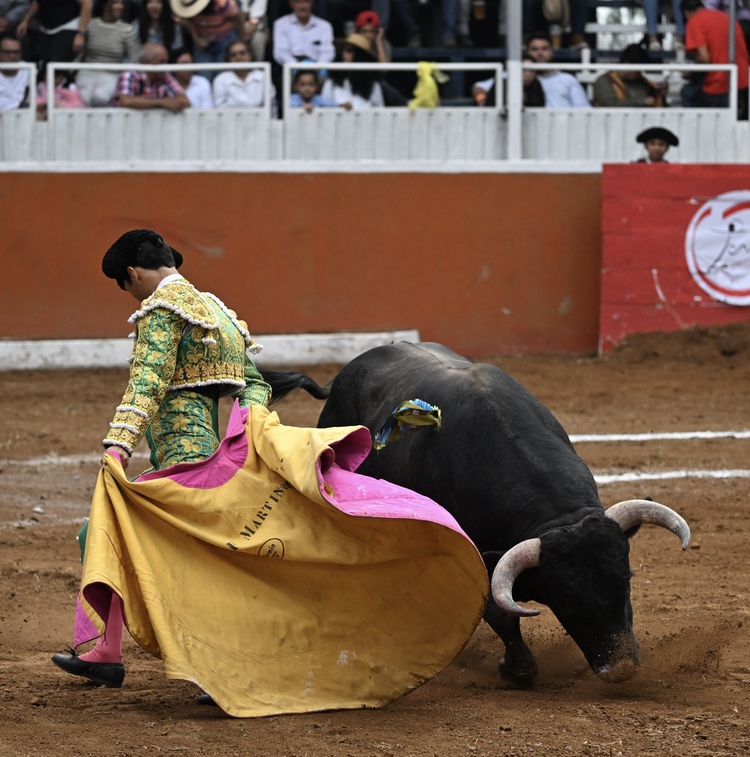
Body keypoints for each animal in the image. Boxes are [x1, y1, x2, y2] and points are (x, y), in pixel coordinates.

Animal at [260, 342, 691, 685]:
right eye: (565, 599)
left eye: (626, 580)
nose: (622, 668)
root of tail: (341, 378)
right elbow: (500, 614)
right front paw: (513, 668)